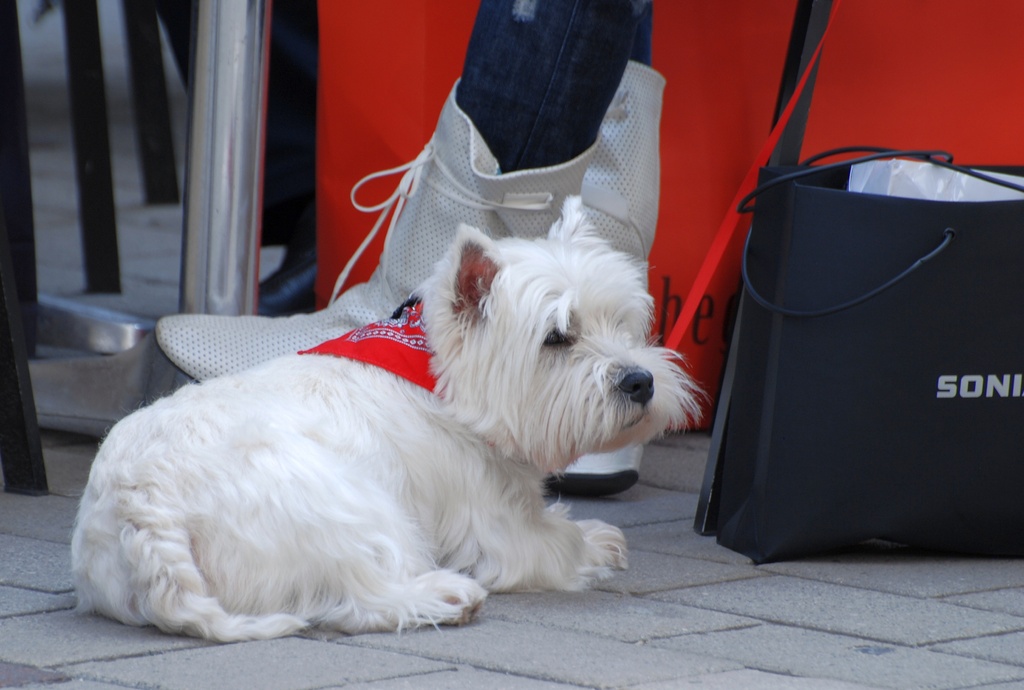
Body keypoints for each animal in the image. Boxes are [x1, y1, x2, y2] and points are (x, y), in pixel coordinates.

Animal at [70, 197, 696, 638]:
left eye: (624, 323)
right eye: (557, 337)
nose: (640, 382)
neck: (442, 380)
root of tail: (140, 507)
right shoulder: (492, 520)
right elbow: (550, 541)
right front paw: (596, 542)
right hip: (344, 505)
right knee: (357, 592)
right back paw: (443, 596)